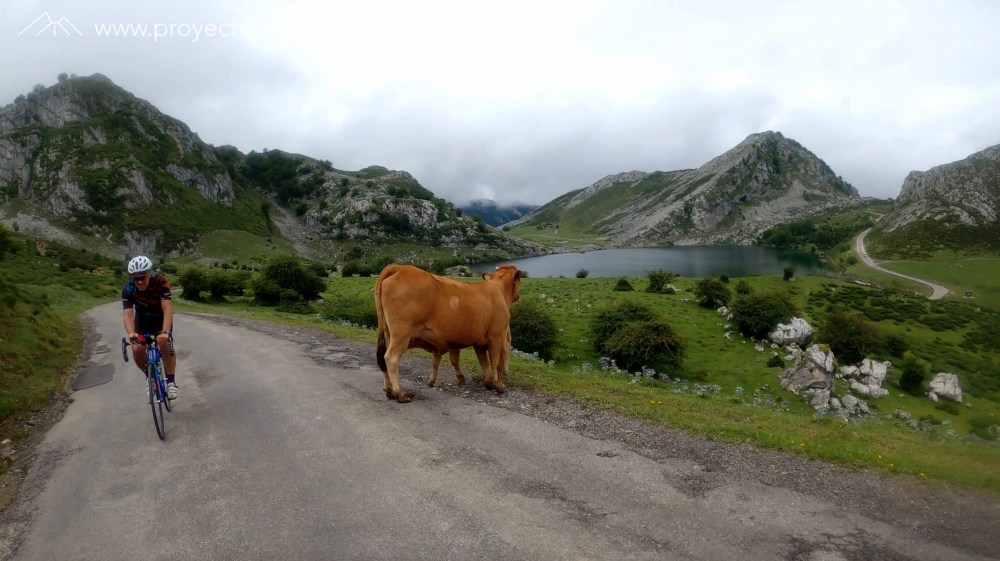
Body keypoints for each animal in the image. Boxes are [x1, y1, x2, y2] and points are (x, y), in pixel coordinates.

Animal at [374, 264, 524, 403]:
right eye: (519, 281)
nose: (518, 296)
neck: (498, 290)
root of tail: (399, 267)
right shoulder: (496, 336)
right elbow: (494, 361)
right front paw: (499, 385)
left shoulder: (479, 342)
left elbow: (484, 362)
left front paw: (488, 382)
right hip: (401, 334)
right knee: (391, 358)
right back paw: (400, 394)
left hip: (387, 333)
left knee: (383, 357)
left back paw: (389, 391)